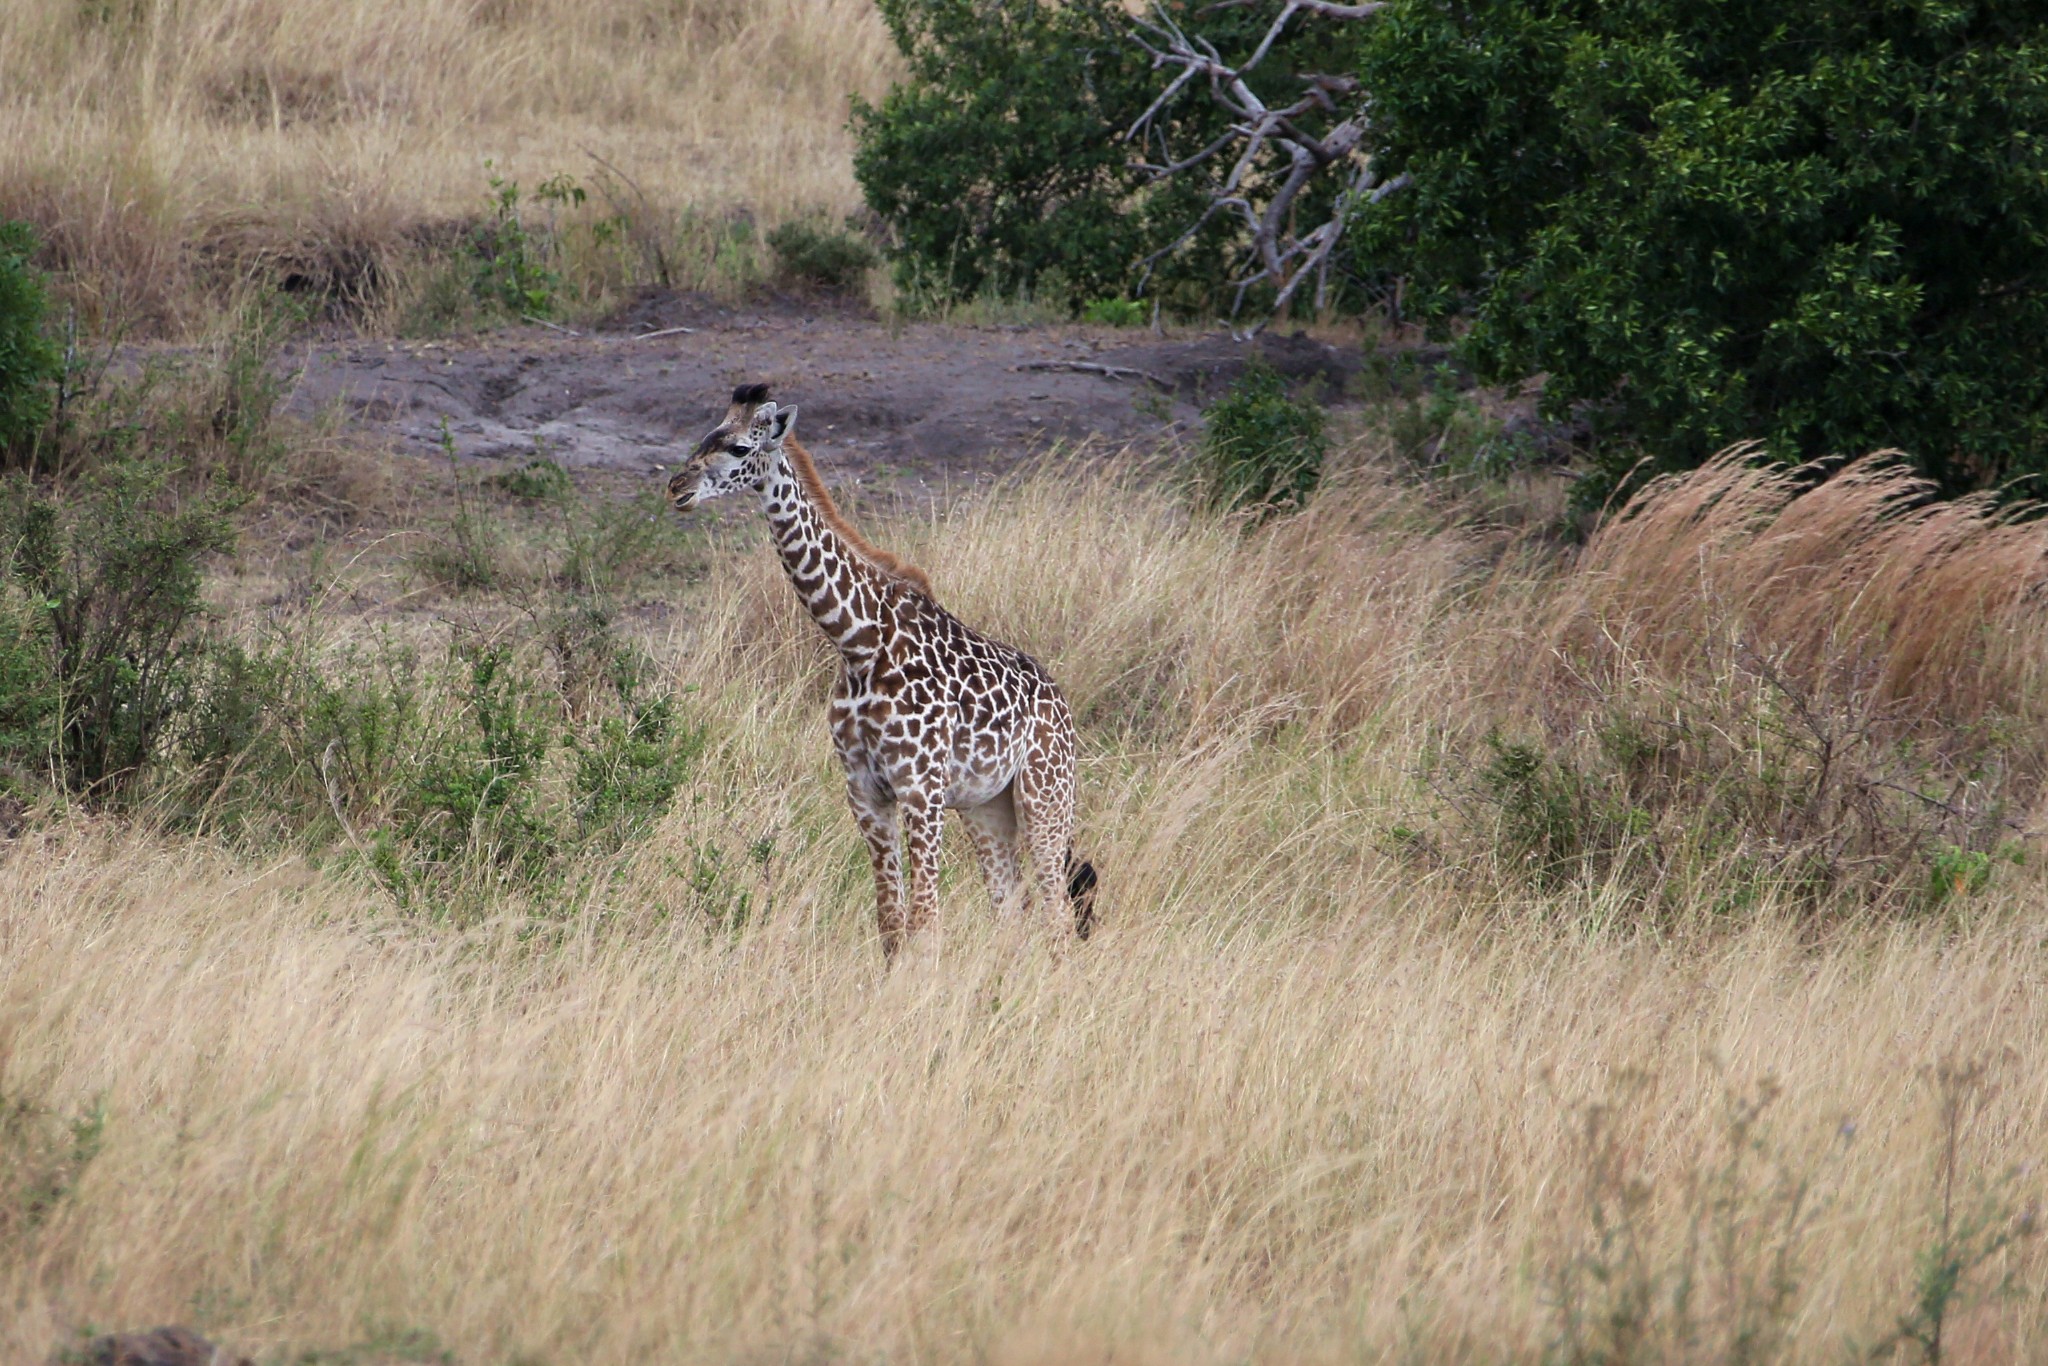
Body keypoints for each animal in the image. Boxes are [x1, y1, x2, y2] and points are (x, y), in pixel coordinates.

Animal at [663, 382, 1097, 962]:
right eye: (704, 436)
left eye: (737, 448)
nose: (677, 487)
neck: (858, 642)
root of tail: (1061, 703)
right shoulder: (865, 792)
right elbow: (891, 925)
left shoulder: (921, 790)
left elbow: (925, 923)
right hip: (987, 805)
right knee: (1012, 909)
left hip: (1045, 794)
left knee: (1057, 914)